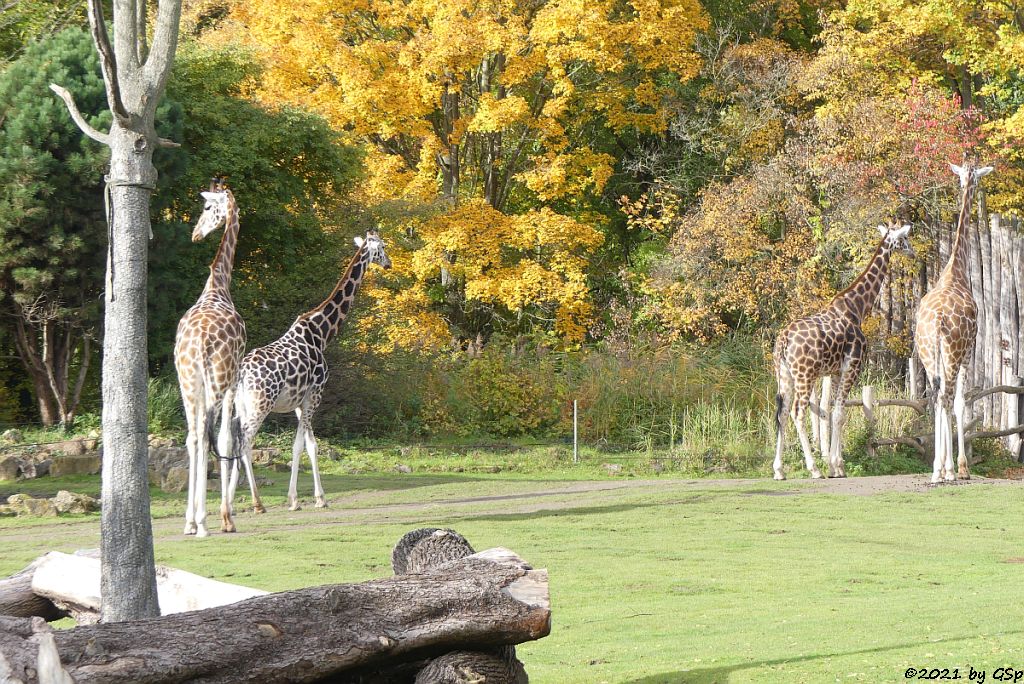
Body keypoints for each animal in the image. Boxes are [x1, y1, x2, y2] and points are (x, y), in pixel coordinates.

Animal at [228, 229, 391, 511]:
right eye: (381, 247)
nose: (389, 264)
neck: (322, 334)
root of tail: (243, 374)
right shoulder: (315, 393)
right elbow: (298, 446)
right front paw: (294, 500)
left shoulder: (300, 401)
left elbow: (311, 445)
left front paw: (320, 498)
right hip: (261, 404)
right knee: (245, 441)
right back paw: (255, 502)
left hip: (242, 404)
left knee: (231, 439)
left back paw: (230, 503)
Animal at [770, 222, 917, 479]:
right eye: (905, 238)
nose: (913, 253)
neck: (857, 308)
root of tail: (783, 341)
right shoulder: (852, 366)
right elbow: (839, 414)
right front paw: (837, 465)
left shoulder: (836, 371)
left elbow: (831, 413)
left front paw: (835, 465)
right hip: (805, 375)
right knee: (798, 413)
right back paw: (813, 469)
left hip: (785, 375)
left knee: (783, 413)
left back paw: (779, 470)